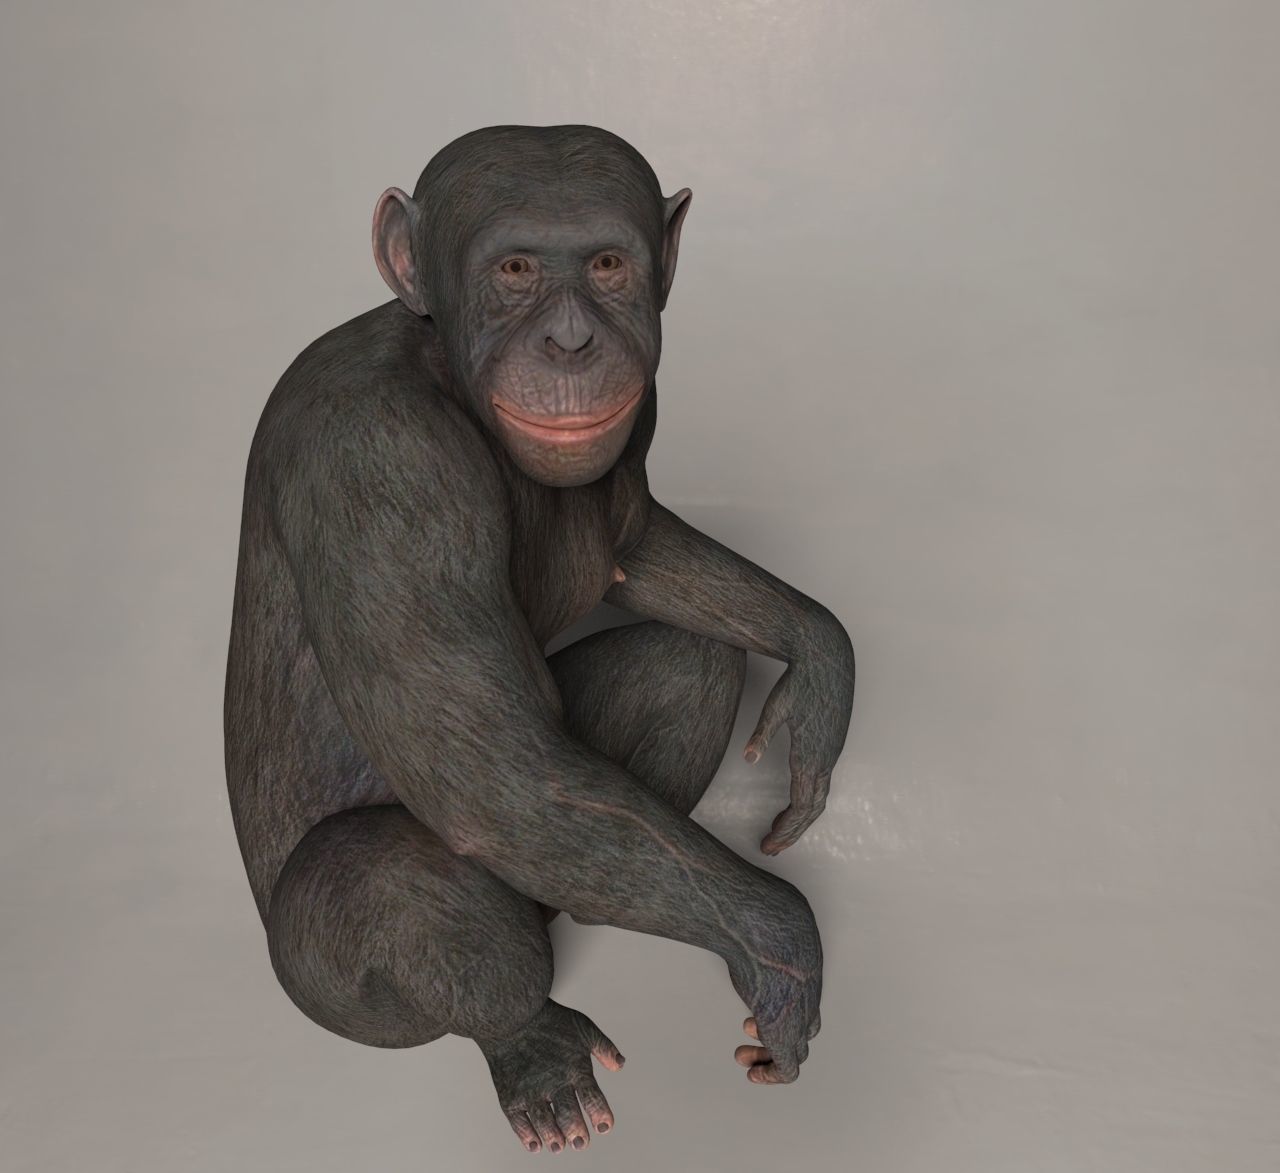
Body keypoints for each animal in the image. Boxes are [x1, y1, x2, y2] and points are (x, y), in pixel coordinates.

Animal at [224, 124, 855, 1153]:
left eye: (607, 265)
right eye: (515, 270)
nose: (570, 341)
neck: (449, 375)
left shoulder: (637, 420)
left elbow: (630, 548)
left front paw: (819, 659)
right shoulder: (378, 461)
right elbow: (494, 780)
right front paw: (782, 943)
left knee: (684, 669)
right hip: (324, 992)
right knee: (378, 872)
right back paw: (530, 1043)